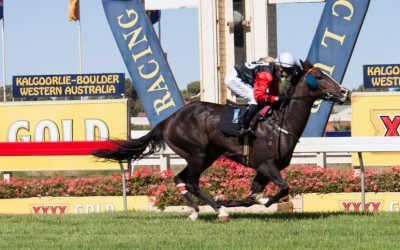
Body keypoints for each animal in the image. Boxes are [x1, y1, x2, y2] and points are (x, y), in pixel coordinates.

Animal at [93, 60, 346, 221]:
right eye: (319, 76)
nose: (343, 91)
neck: (280, 123)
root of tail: (170, 119)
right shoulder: (266, 164)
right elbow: (283, 188)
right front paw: (242, 202)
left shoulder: (263, 169)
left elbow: (251, 197)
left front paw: (236, 200)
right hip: (197, 154)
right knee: (192, 182)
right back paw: (219, 211)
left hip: (207, 155)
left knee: (179, 179)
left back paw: (196, 211)